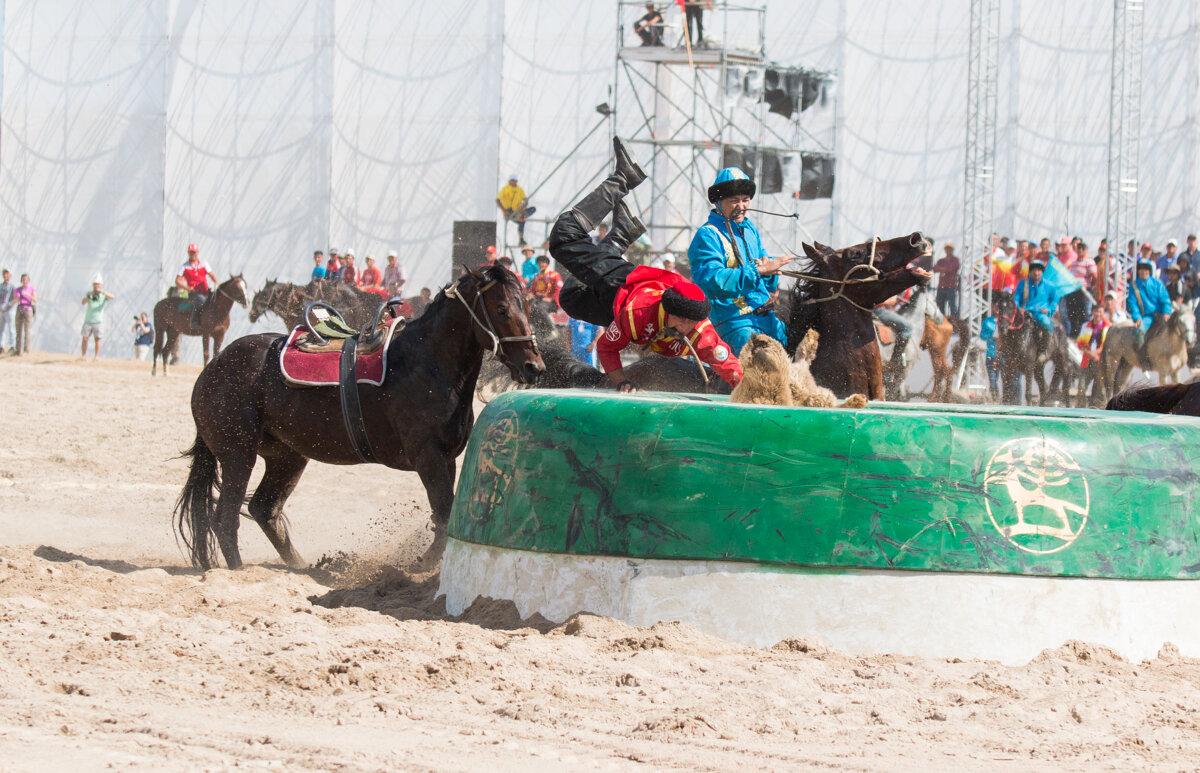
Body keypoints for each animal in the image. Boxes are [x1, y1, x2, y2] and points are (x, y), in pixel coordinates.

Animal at [172, 265, 540, 566]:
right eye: (502, 309)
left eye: (526, 307)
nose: (533, 366)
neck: (426, 362)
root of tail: (212, 369)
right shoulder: (428, 457)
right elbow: (444, 514)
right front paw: (423, 565)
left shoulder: (447, 459)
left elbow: (443, 515)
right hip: (238, 453)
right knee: (225, 518)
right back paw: (238, 569)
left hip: (286, 456)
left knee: (264, 509)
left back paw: (303, 568)